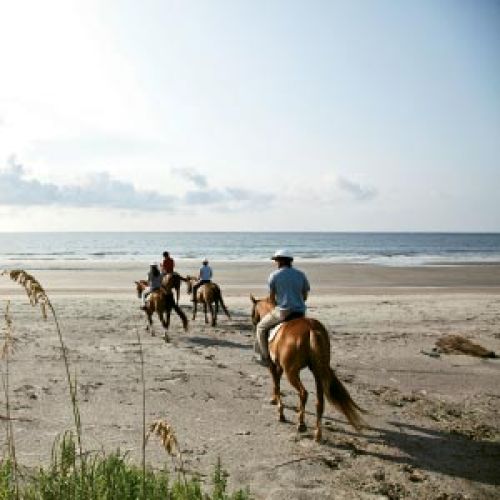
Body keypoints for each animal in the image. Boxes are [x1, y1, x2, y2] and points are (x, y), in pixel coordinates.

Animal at [250, 295, 365, 442]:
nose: (253, 323)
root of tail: (311, 328)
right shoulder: (279, 367)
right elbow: (277, 384)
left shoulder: (273, 365)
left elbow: (276, 384)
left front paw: (280, 410)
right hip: (318, 371)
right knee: (319, 401)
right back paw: (317, 434)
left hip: (291, 372)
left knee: (303, 393)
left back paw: (301, 423)